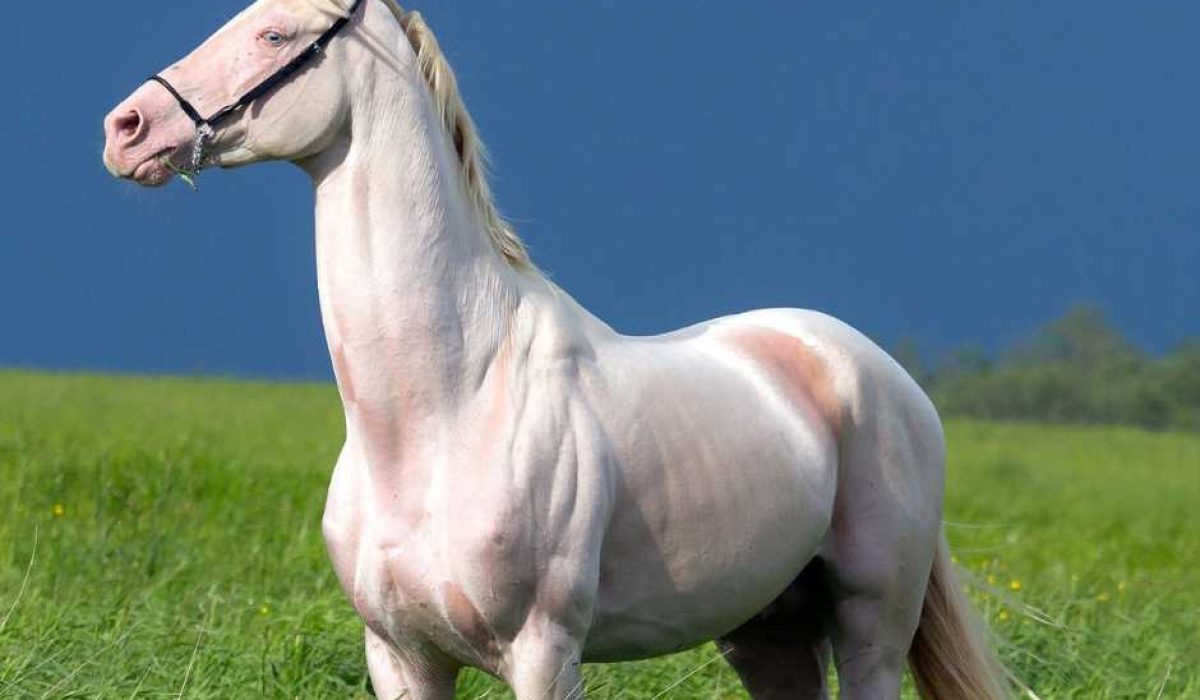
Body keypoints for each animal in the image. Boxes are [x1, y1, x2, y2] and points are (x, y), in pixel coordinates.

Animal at [103, 1, 1004, 697]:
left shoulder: (542, 652)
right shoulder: (402, 657)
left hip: (871, 623)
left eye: (274, 35)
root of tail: (882, 374)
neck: (445, 409)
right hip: (765, 631)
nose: (126, 129)